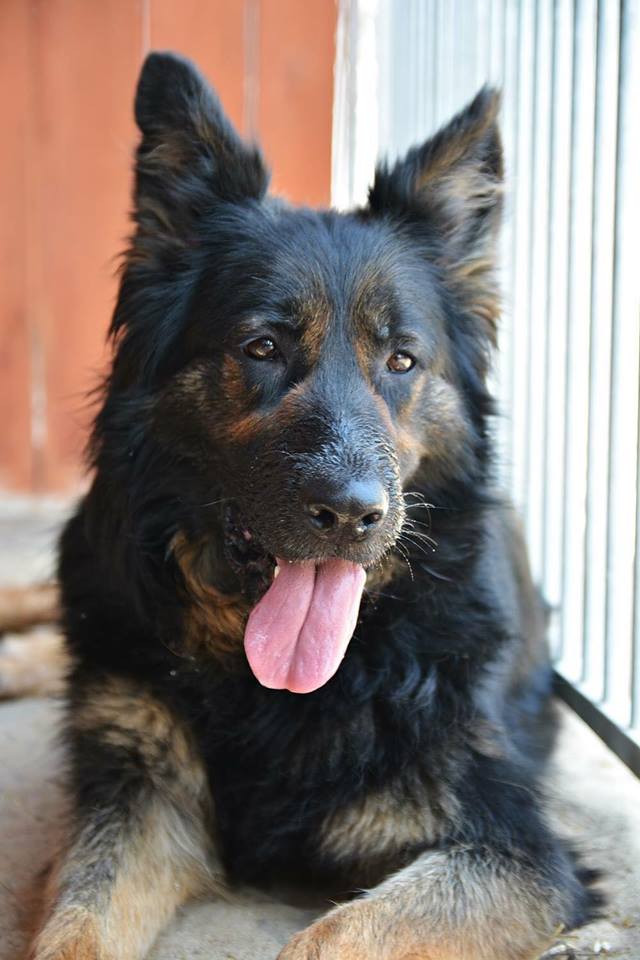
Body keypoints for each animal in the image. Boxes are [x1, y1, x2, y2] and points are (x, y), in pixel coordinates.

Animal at [28, 52, 599, 960]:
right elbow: (76, 925)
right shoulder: (137, 798)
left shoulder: (518, 852)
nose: (350, 513)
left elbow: (335, 934)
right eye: (262, 347)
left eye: (401, 360)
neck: (276, 688)